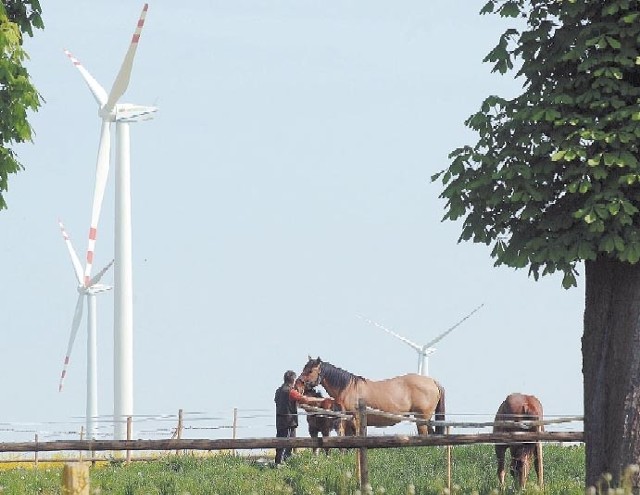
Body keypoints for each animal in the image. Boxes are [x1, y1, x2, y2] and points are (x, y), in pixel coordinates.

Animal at [296, 356, 442, 434]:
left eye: (310, 370)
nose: (298, 384)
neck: (348, 388)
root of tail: (432, 381)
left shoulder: (355, 419)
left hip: (421, 419)